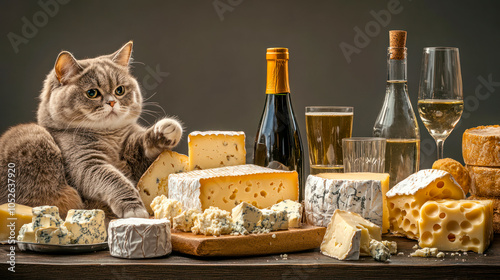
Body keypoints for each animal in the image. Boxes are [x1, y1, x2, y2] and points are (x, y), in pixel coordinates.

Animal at [0, 41, 182, 218]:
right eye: (92, 93)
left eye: (120, 90)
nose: (112, 102)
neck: (110, 137)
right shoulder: (86, 164)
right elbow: (114, 180)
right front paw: (134, 209)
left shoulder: (134, 155)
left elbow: (143, 146)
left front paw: (166, 129)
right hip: (35, 137)